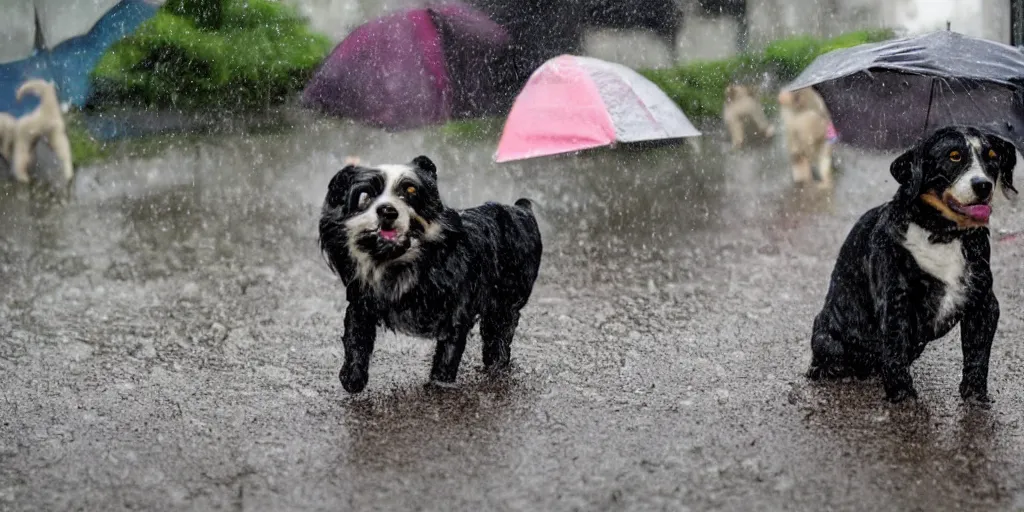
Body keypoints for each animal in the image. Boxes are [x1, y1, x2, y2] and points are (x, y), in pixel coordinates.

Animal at [317, 154, 544, 391]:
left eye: (410, 190)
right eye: (365, 195)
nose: (388, 211)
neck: (403, 264)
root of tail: (522, 210)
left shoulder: (456, 311)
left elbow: (447, 355)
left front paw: (440, 384)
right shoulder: (362, 302)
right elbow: (356, 337)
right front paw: (352, 377)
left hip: (504, 302)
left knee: (499, 333)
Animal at [806, 125, 1015, 401]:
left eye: (992, 156)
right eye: (954, 156)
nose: (983, 185)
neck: (942, 233)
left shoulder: (984, 303)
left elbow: (978, 354)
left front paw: (976, 394)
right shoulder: (896, 301)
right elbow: (895, 354)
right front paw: (902, 396)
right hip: (826, 339)